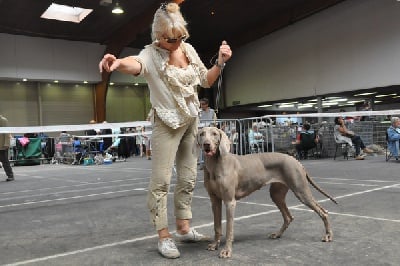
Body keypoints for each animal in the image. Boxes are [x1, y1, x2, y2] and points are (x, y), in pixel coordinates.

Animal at [197, 127, 338, 258]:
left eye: (214, 134)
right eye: (202, 134)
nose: (206, 144)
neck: (214, 165)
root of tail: (295, 160)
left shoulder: (229, 202)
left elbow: (229, 229)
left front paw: (226, 251)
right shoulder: (215, 201)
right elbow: (217, 226)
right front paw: (215, 245)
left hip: (301, 191)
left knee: (323, 212)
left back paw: (328, 235)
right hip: (276, 194)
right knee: (288, 217)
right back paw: (277, 234)